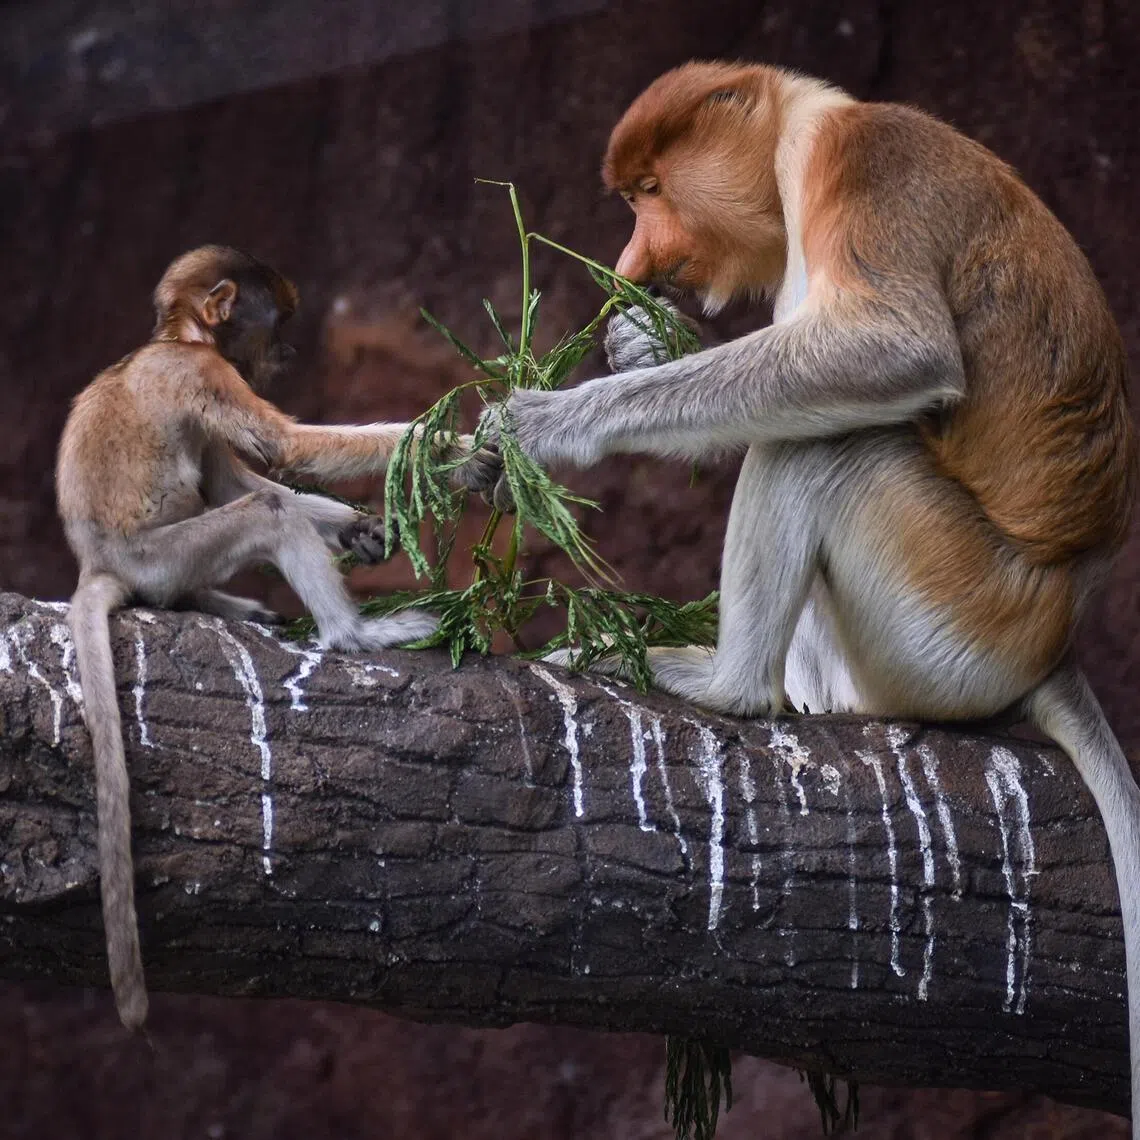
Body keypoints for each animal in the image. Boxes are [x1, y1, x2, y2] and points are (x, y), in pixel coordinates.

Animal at [57, 245, 493, 1031]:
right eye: (278, 324)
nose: (287, 353)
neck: (175, 339)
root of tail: (101, 562)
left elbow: (247, 478)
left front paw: (365, 529)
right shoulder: (203, 375)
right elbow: (283, 456)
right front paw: (462, 452)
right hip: (160, 557)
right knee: (266, 512)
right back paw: (355, 636)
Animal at [475, 63, 1140, 1129]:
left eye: (650, 191)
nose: (632, 260)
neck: (797, 137)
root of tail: (1055, 640)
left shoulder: (861, 171)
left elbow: (887, 353)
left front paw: (544, 423)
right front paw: (639, 340)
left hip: (953, 608)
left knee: (831, 444)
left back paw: (722, 684)